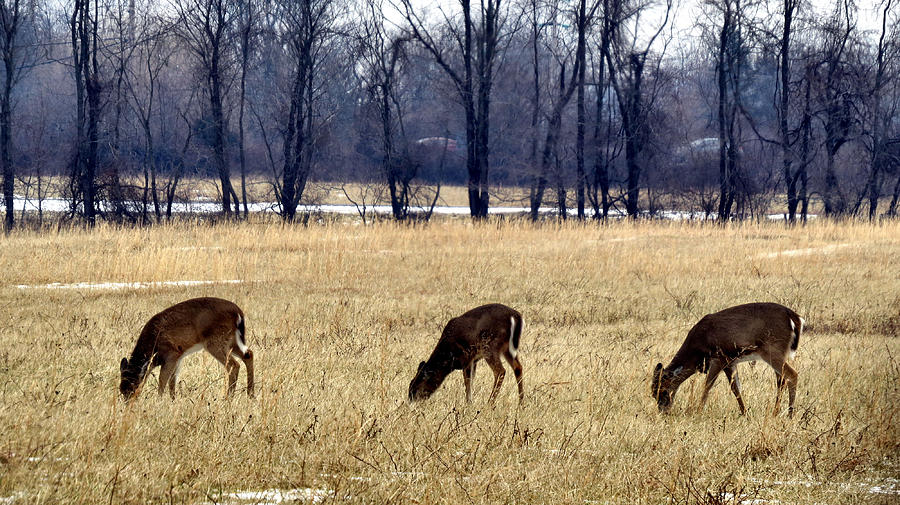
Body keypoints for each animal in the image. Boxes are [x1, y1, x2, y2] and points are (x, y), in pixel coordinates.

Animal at [118, 298, 253, 400]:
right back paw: (250, 394)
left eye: (133, 386)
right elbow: (172, 381)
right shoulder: (179, 356)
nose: (127, 403)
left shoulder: (171, 353)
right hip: (231, 340)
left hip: (216, 341)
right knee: (249, 354)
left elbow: (163, 380)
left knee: (234, 365)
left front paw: (159, 400)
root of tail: (238, 314)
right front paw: (172, 400)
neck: (153, 346)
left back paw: (228, 398)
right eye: (121, 389)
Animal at [652, 302, 804, 416]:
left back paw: (790, 414)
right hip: (777, 354)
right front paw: (744, 412)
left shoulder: (719, 358)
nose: (663, 412)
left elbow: (708, 385)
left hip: (772, 351)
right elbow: (736, 388)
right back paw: (775, 412)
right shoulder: (731, 362)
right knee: (781, 380)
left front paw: (698, 412)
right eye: (653, 395)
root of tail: (795, 318)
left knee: (792, 375)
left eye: (663, 390)